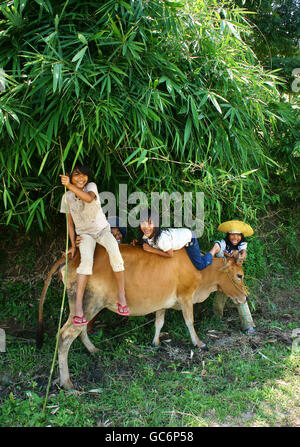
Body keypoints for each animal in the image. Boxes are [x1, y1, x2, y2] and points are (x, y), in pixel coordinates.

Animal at [36, 245, 247, 388]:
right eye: (239, 275)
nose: (246, 296)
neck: (201, 272)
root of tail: (72, 255)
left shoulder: (162, 303)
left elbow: (159, 322)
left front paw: (156, 342)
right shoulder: (186, 296)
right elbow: (189, 322)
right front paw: (199, 343)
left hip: (83, 307)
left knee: (79, 331)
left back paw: (93, 350)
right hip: (89, 303)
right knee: (65, 336)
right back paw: (67, 382)